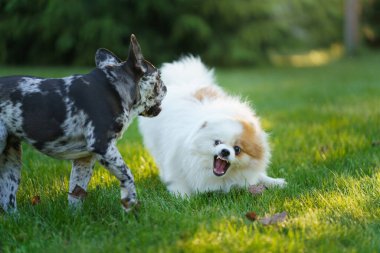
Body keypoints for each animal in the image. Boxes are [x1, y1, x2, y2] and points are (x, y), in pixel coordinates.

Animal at [139, 56, 284, 197]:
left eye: (237, 149)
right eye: (217, 142)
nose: (225, 151)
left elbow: (258, 176)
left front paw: (275, 182)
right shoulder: (177, 161)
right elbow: (178, 182)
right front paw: (183, 197)